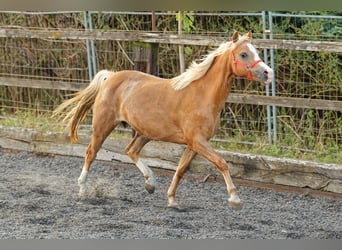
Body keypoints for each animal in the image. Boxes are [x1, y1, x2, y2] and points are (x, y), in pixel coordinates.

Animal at [52, 31, 272, 209]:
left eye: (255, 51)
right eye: (244, 54)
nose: (268, 73)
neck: (203, 96)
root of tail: (111, 77)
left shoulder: (194, 144)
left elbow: (181, 170)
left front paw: (172, 199)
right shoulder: (197, 141)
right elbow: (222, 163)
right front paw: (235, 199)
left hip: (146, 132)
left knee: (130, 150)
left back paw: (150, 183)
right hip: (103, 125)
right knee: (91, 153)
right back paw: (83, 189)